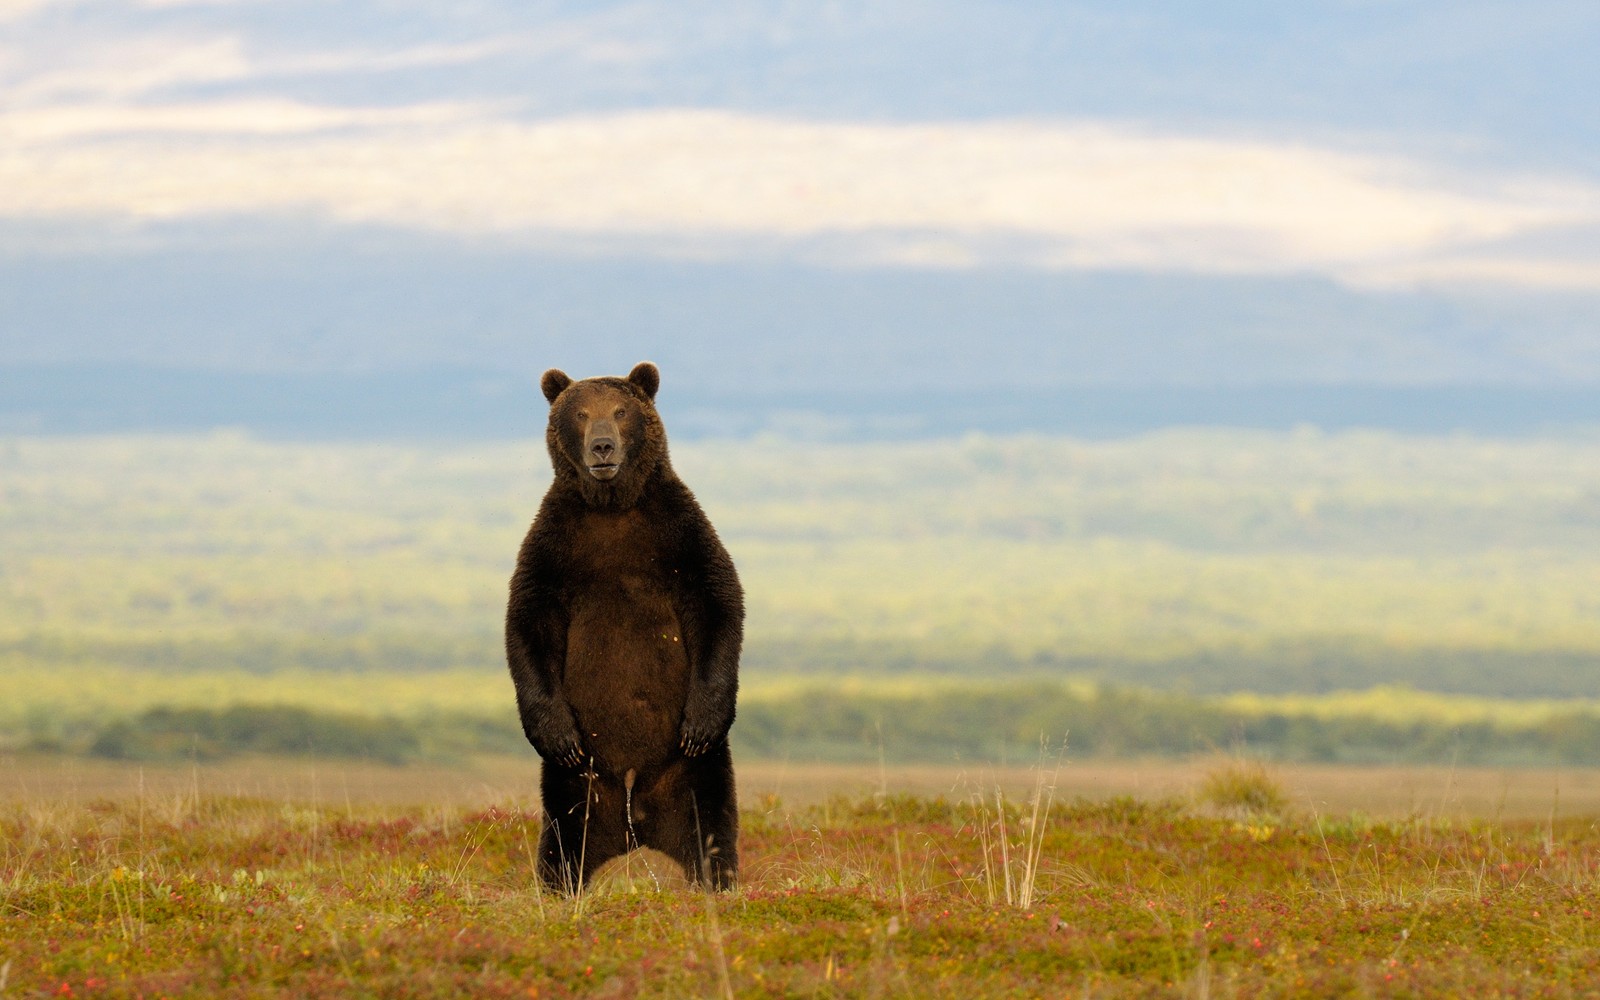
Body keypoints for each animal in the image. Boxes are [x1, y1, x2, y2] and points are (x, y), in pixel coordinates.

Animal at [502, 358, 745, 889]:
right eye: (579, 413)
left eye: (620, 410)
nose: (602, 446)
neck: (612, 505)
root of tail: (637, 817)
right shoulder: (554, 545)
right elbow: (529, 622)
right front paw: (553, 732)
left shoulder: (677, 532)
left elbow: (718, 601)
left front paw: (702, 720)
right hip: (582, 781)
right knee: (566, 832)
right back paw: (559, 883)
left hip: (690, 772)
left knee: (710, 820)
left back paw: (716, 879)